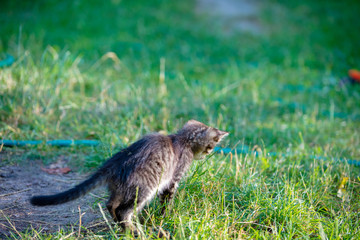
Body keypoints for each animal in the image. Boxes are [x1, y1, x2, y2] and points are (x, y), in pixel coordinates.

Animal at [30, 119, 228, 232]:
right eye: (212, 145)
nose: (208, 154)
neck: (181, 140)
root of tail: (115, 162)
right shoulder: (172, 179)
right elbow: (167, 202)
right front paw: (166, 217)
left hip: (121, 188)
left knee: (111, 204)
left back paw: (120, 226)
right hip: (145, 187)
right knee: (123, 210)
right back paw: (134, 230)